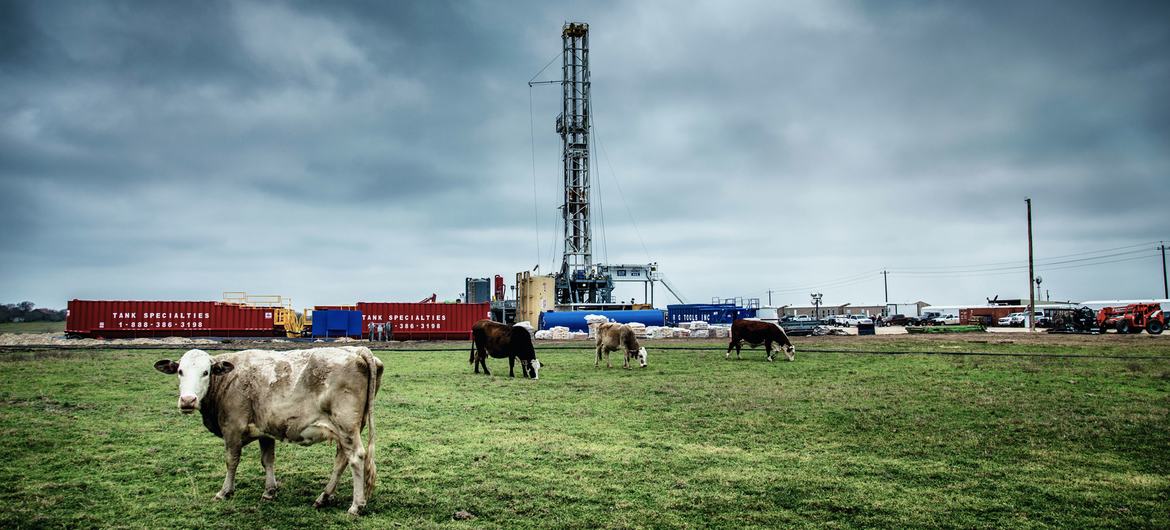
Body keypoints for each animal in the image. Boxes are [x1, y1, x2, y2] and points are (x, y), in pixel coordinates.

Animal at [154, 343, 383, 514]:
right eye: (180, 372)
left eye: (205, 372)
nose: (188, 400)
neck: (229, 379)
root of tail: (357, 350)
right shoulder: (265, 429)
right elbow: (268, 460)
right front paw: (269, 491)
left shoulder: (232, 428)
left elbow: (231, 461)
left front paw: (225, 491)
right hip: (347, 429)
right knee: (341, 460)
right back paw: (324, 497)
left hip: (346, 426)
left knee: (356, 458)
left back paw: (356, 505)